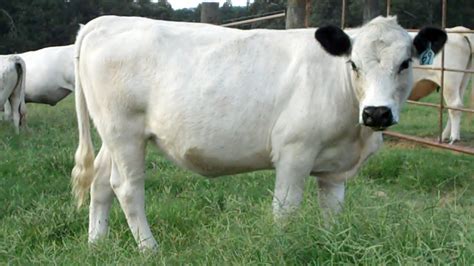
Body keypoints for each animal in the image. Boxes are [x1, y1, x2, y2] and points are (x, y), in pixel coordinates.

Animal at [71, 15, 448, 250]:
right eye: (353, 64)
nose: (376, 112)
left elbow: (332, 212)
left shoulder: (336, 169)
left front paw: (331, 244)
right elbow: (285, 211)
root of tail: (109, 20)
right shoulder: (294, 152)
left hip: (111, 135)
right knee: (127, 188)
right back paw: (150, 249)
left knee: (101, 180)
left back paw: (96, 244)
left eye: (406, 63)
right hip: (124, 132)